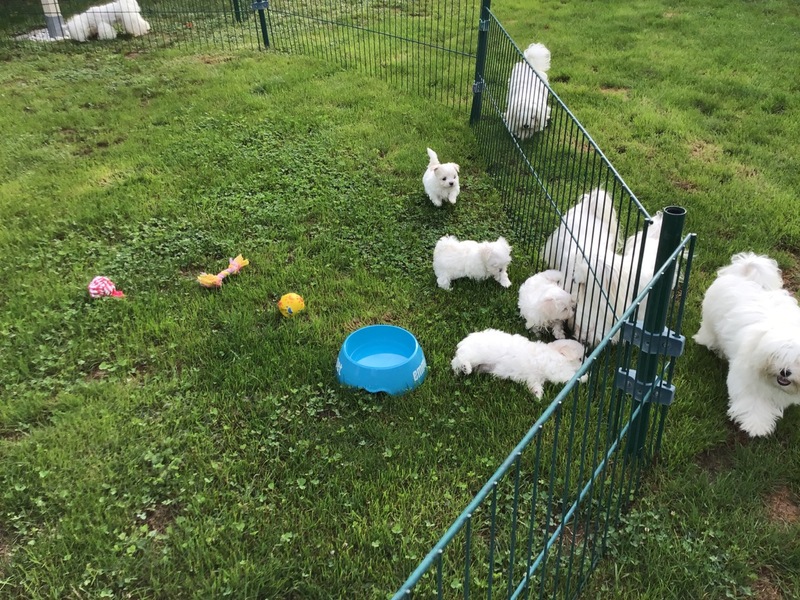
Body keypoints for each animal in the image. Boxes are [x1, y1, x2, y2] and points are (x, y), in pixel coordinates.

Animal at [451, 329, 586, 398]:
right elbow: (570, 376)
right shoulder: (556, 370)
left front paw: (538, 395)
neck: (556, 353)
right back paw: (466, 367)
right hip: (476, 355)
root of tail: (464, 343)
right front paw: (585, 377)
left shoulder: (534, 379)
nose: (584, 363)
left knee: (456, 363)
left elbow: (535, 385)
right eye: (580, 359)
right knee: (462, 359)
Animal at [694, 252, 800, 437]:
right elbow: (752, 402)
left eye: (798, 361)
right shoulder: (747, 379)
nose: (785, 372)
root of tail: (744, 274)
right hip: (710, 320)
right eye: (777, 355)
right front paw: (756, 425)